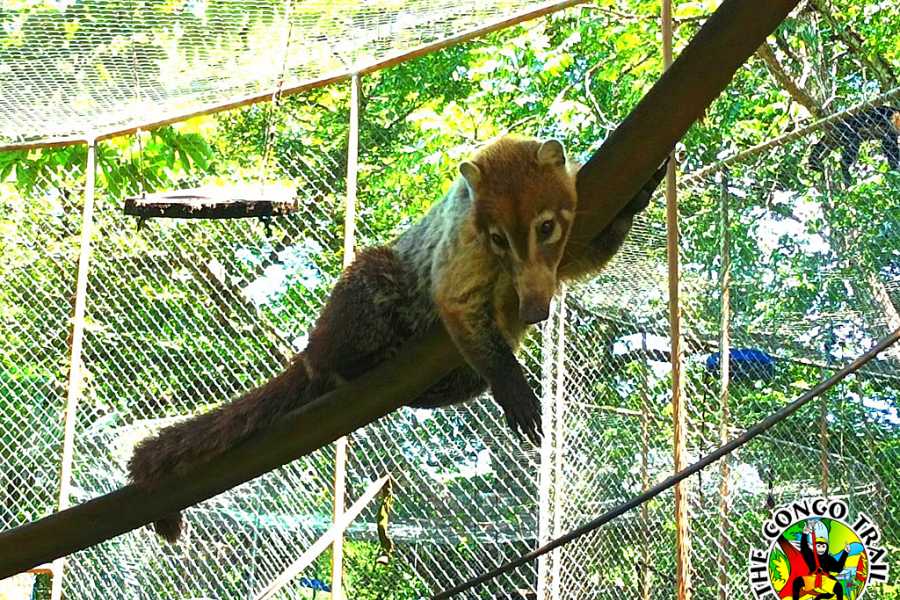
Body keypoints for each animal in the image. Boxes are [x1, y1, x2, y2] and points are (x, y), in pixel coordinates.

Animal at [128, 135, 668, 543]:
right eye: (497, 239)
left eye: (547, 227)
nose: (536, 312)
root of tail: (311, 348)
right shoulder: (461, 245)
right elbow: (456, 302)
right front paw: (512, 381)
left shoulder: (566, 239)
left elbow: (581, 262)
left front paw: (640, 193)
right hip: (364, 292)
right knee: (362, 304)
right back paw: (356, 364)